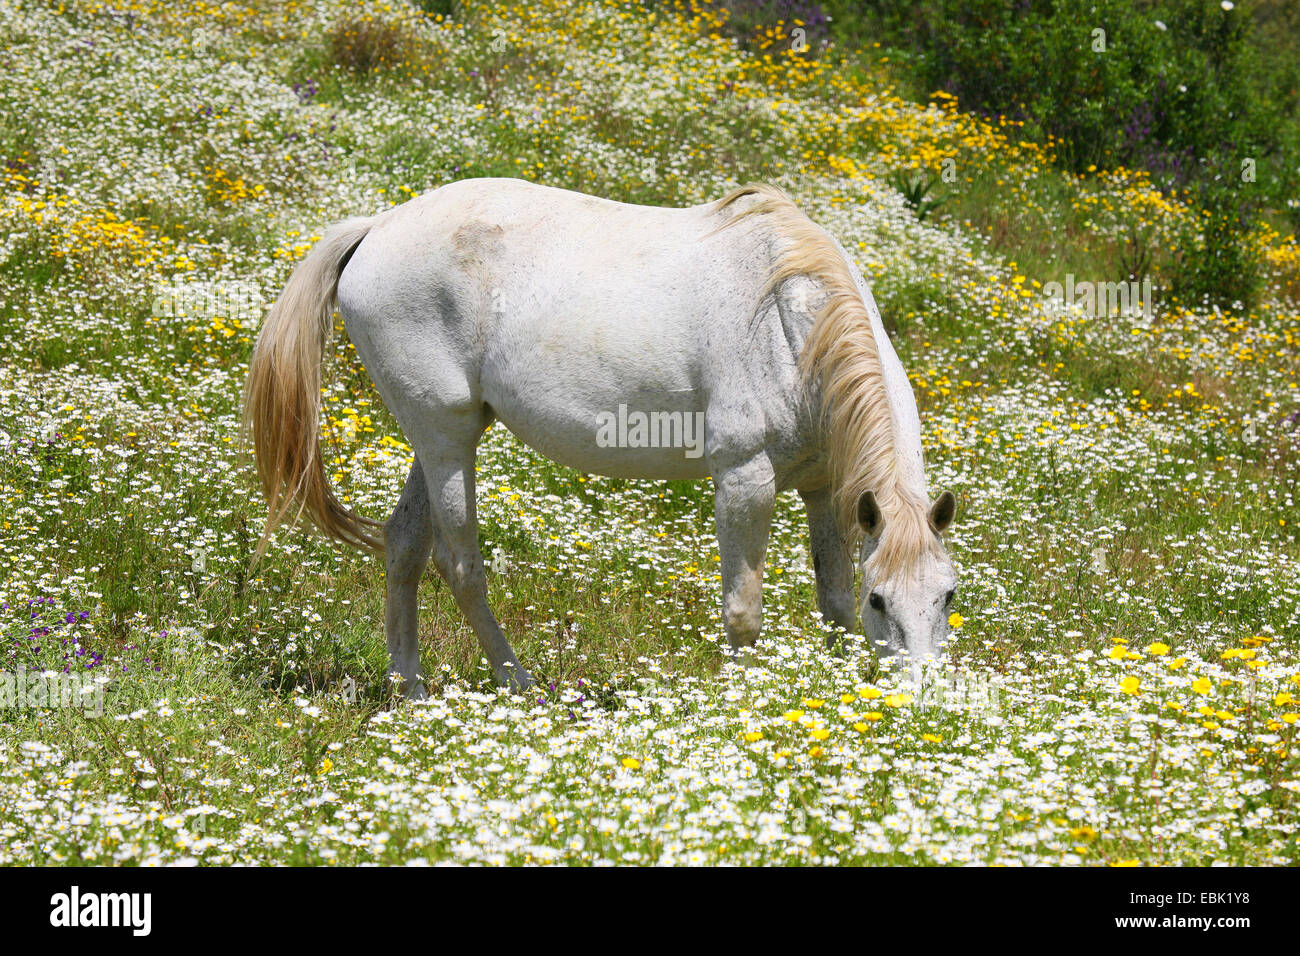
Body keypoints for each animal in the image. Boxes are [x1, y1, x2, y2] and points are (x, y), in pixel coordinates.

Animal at [245, 179, 956, 697]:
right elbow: (743, 612)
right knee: (460, 564)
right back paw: (518, 684)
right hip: (446, 441)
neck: (789, 324)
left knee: (403, 547)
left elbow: (833, 605)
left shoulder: (824, 490)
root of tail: (378, 227)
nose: (921, 701)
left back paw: (410, 690)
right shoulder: (744, 481)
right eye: (882, 599)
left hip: (440, 435)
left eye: (948, 595)